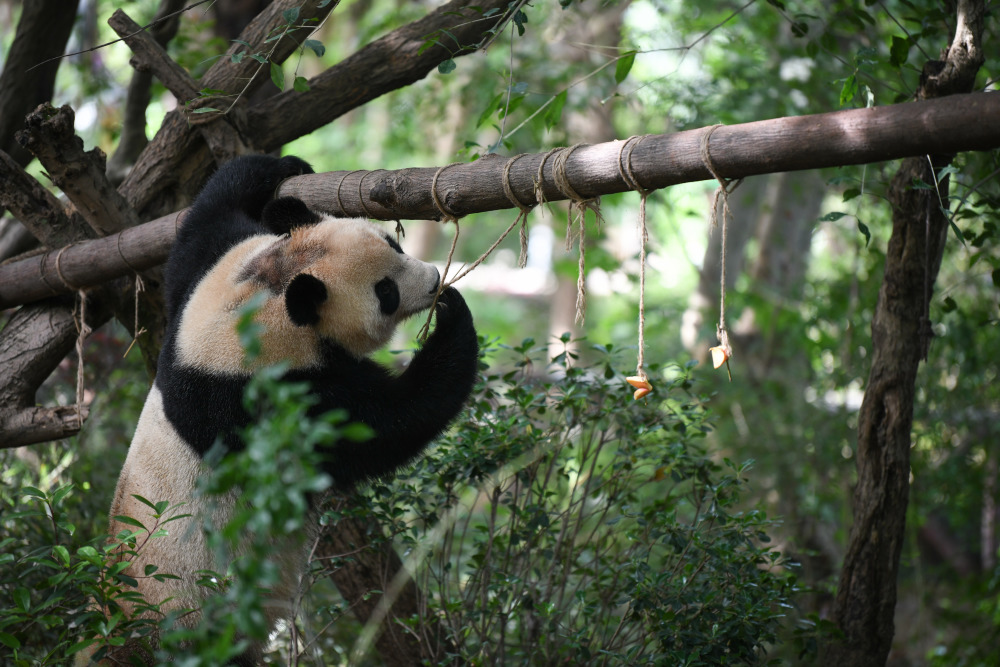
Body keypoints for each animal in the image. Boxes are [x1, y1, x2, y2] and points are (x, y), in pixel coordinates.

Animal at [98, 155, 480, 664]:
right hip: (193, 618)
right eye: (385, 293)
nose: (435, 280)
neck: (265, 301)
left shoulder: (201, 289)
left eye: (393, 242)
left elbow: (205, 222)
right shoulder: (267, 401)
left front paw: (283, 165)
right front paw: (453, 316)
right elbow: (388, 425)